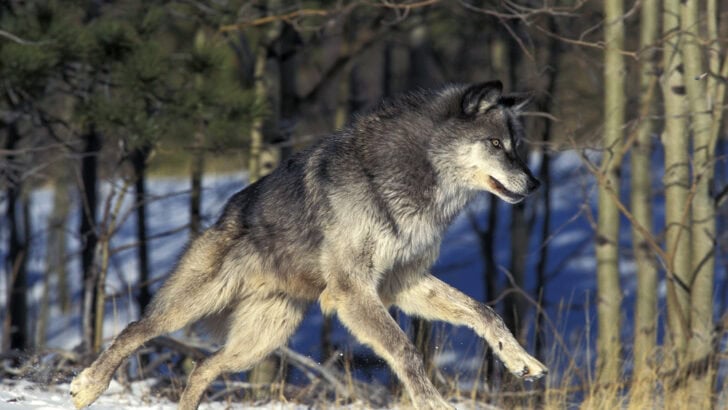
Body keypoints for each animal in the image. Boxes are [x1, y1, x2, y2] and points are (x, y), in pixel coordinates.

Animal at [70, 81, 547, 409]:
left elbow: (484, 312)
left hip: (259, 342)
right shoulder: (354, 291)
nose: (535, 183)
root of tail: (223, 216)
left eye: (517, 146)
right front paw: (433, 403)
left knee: (203, 367)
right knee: (135, 330)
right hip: (191, 306)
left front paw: (521, 361)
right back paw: (87, 386)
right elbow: (405, 351)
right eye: (496, 144)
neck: (416, 182)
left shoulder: (401, 282)